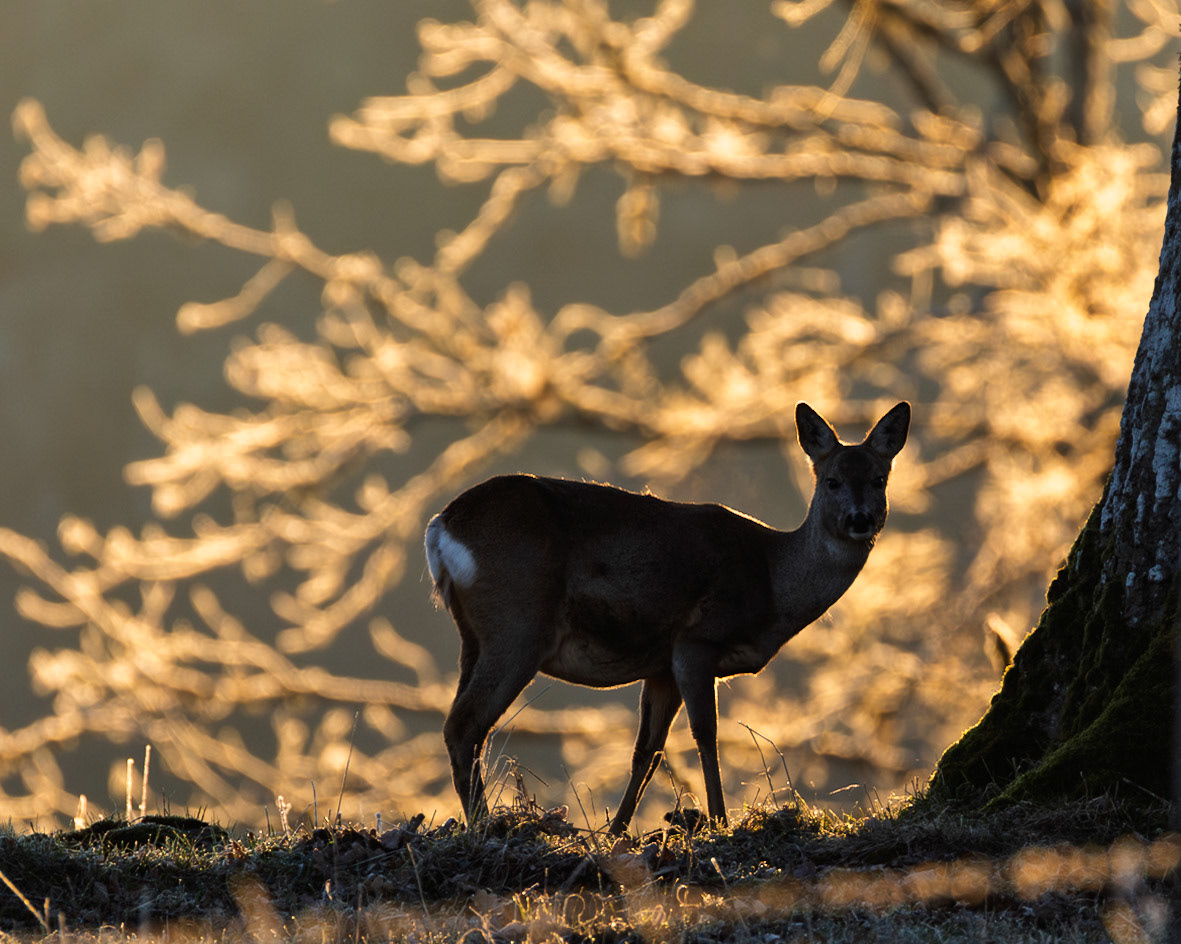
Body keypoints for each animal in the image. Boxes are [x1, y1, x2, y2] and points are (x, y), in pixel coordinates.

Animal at [424, 401, 910, 834]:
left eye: (880, 478)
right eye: (831, 481)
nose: (861, 519)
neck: (772, 581)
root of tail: (441, 526)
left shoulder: (660, 667)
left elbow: (648, 750)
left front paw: (616, 830)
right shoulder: (696, 640)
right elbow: (706, 734)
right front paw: (719, 821)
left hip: (474, 636)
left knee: (462, 726)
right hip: (518, 625)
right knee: (465, 725)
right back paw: (484, 825)